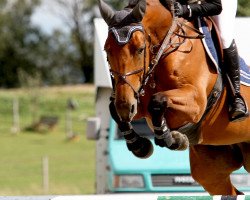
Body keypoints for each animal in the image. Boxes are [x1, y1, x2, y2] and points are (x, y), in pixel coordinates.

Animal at [98, 0, 250, 195]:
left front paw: (172, 138)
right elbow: (115, 109)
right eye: (107, 50)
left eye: (140, 49)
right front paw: (140, 145)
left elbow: (158, 101)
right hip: (211, 168)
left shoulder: (196, 102)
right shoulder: (137, 99)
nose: (125, 107)